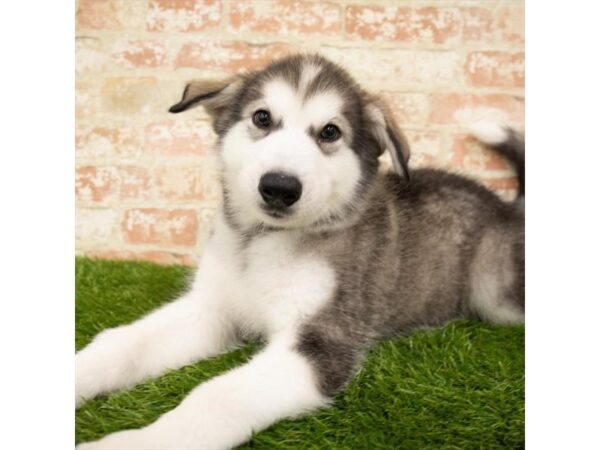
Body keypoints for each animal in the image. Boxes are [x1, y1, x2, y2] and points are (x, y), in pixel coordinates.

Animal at [76, 54, 524, 448]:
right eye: (262, 118)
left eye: (330, 132)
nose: (279, 187)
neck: (260, 243)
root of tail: (507, 206)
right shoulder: (212, 309)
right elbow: (120, 343)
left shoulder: (321, 343)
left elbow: (216, 398)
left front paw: (131, 443)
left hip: (495, 293)